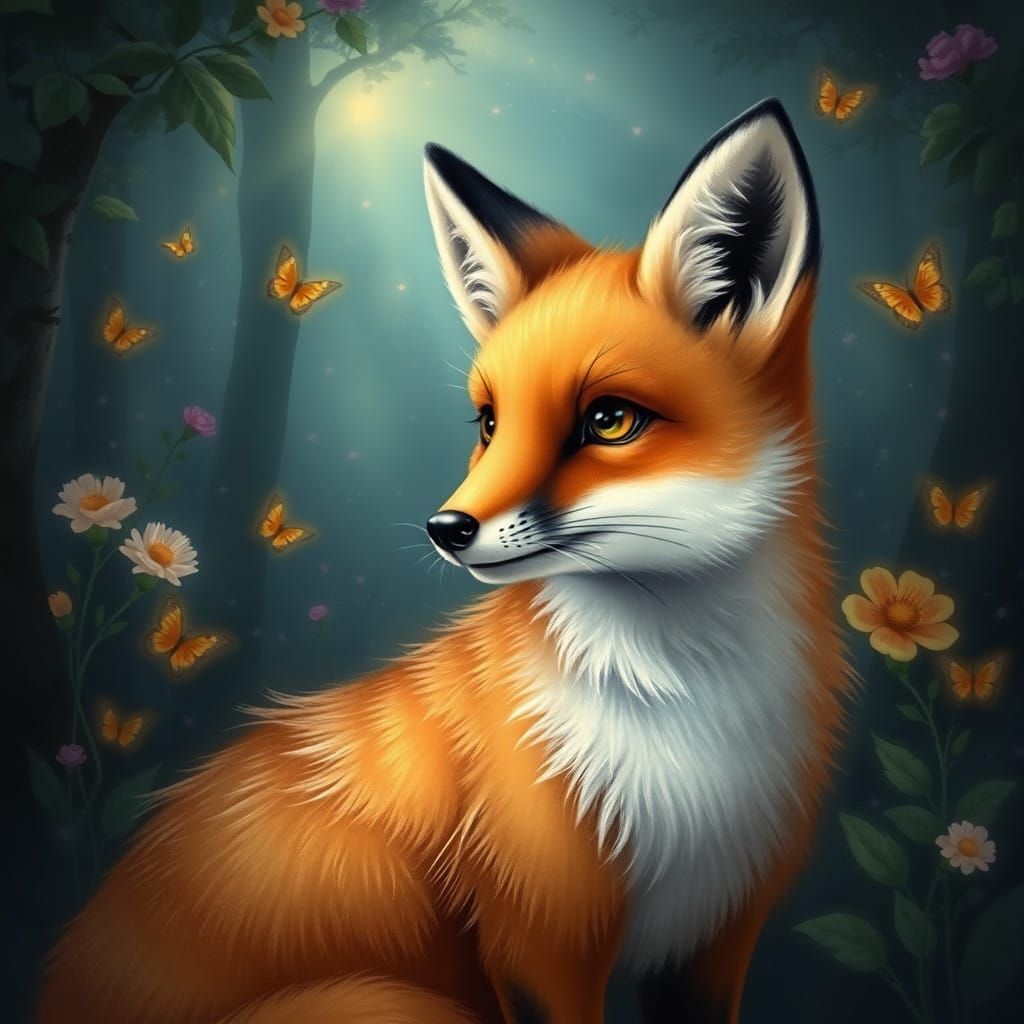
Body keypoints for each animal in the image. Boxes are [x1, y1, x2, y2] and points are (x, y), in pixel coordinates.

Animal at [39, 98, 849, 1024]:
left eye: (609, 420)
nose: (445, 527)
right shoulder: (540, 936)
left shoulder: (718, 933)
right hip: (395, 1002)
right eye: (489, 423)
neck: (685, 736)